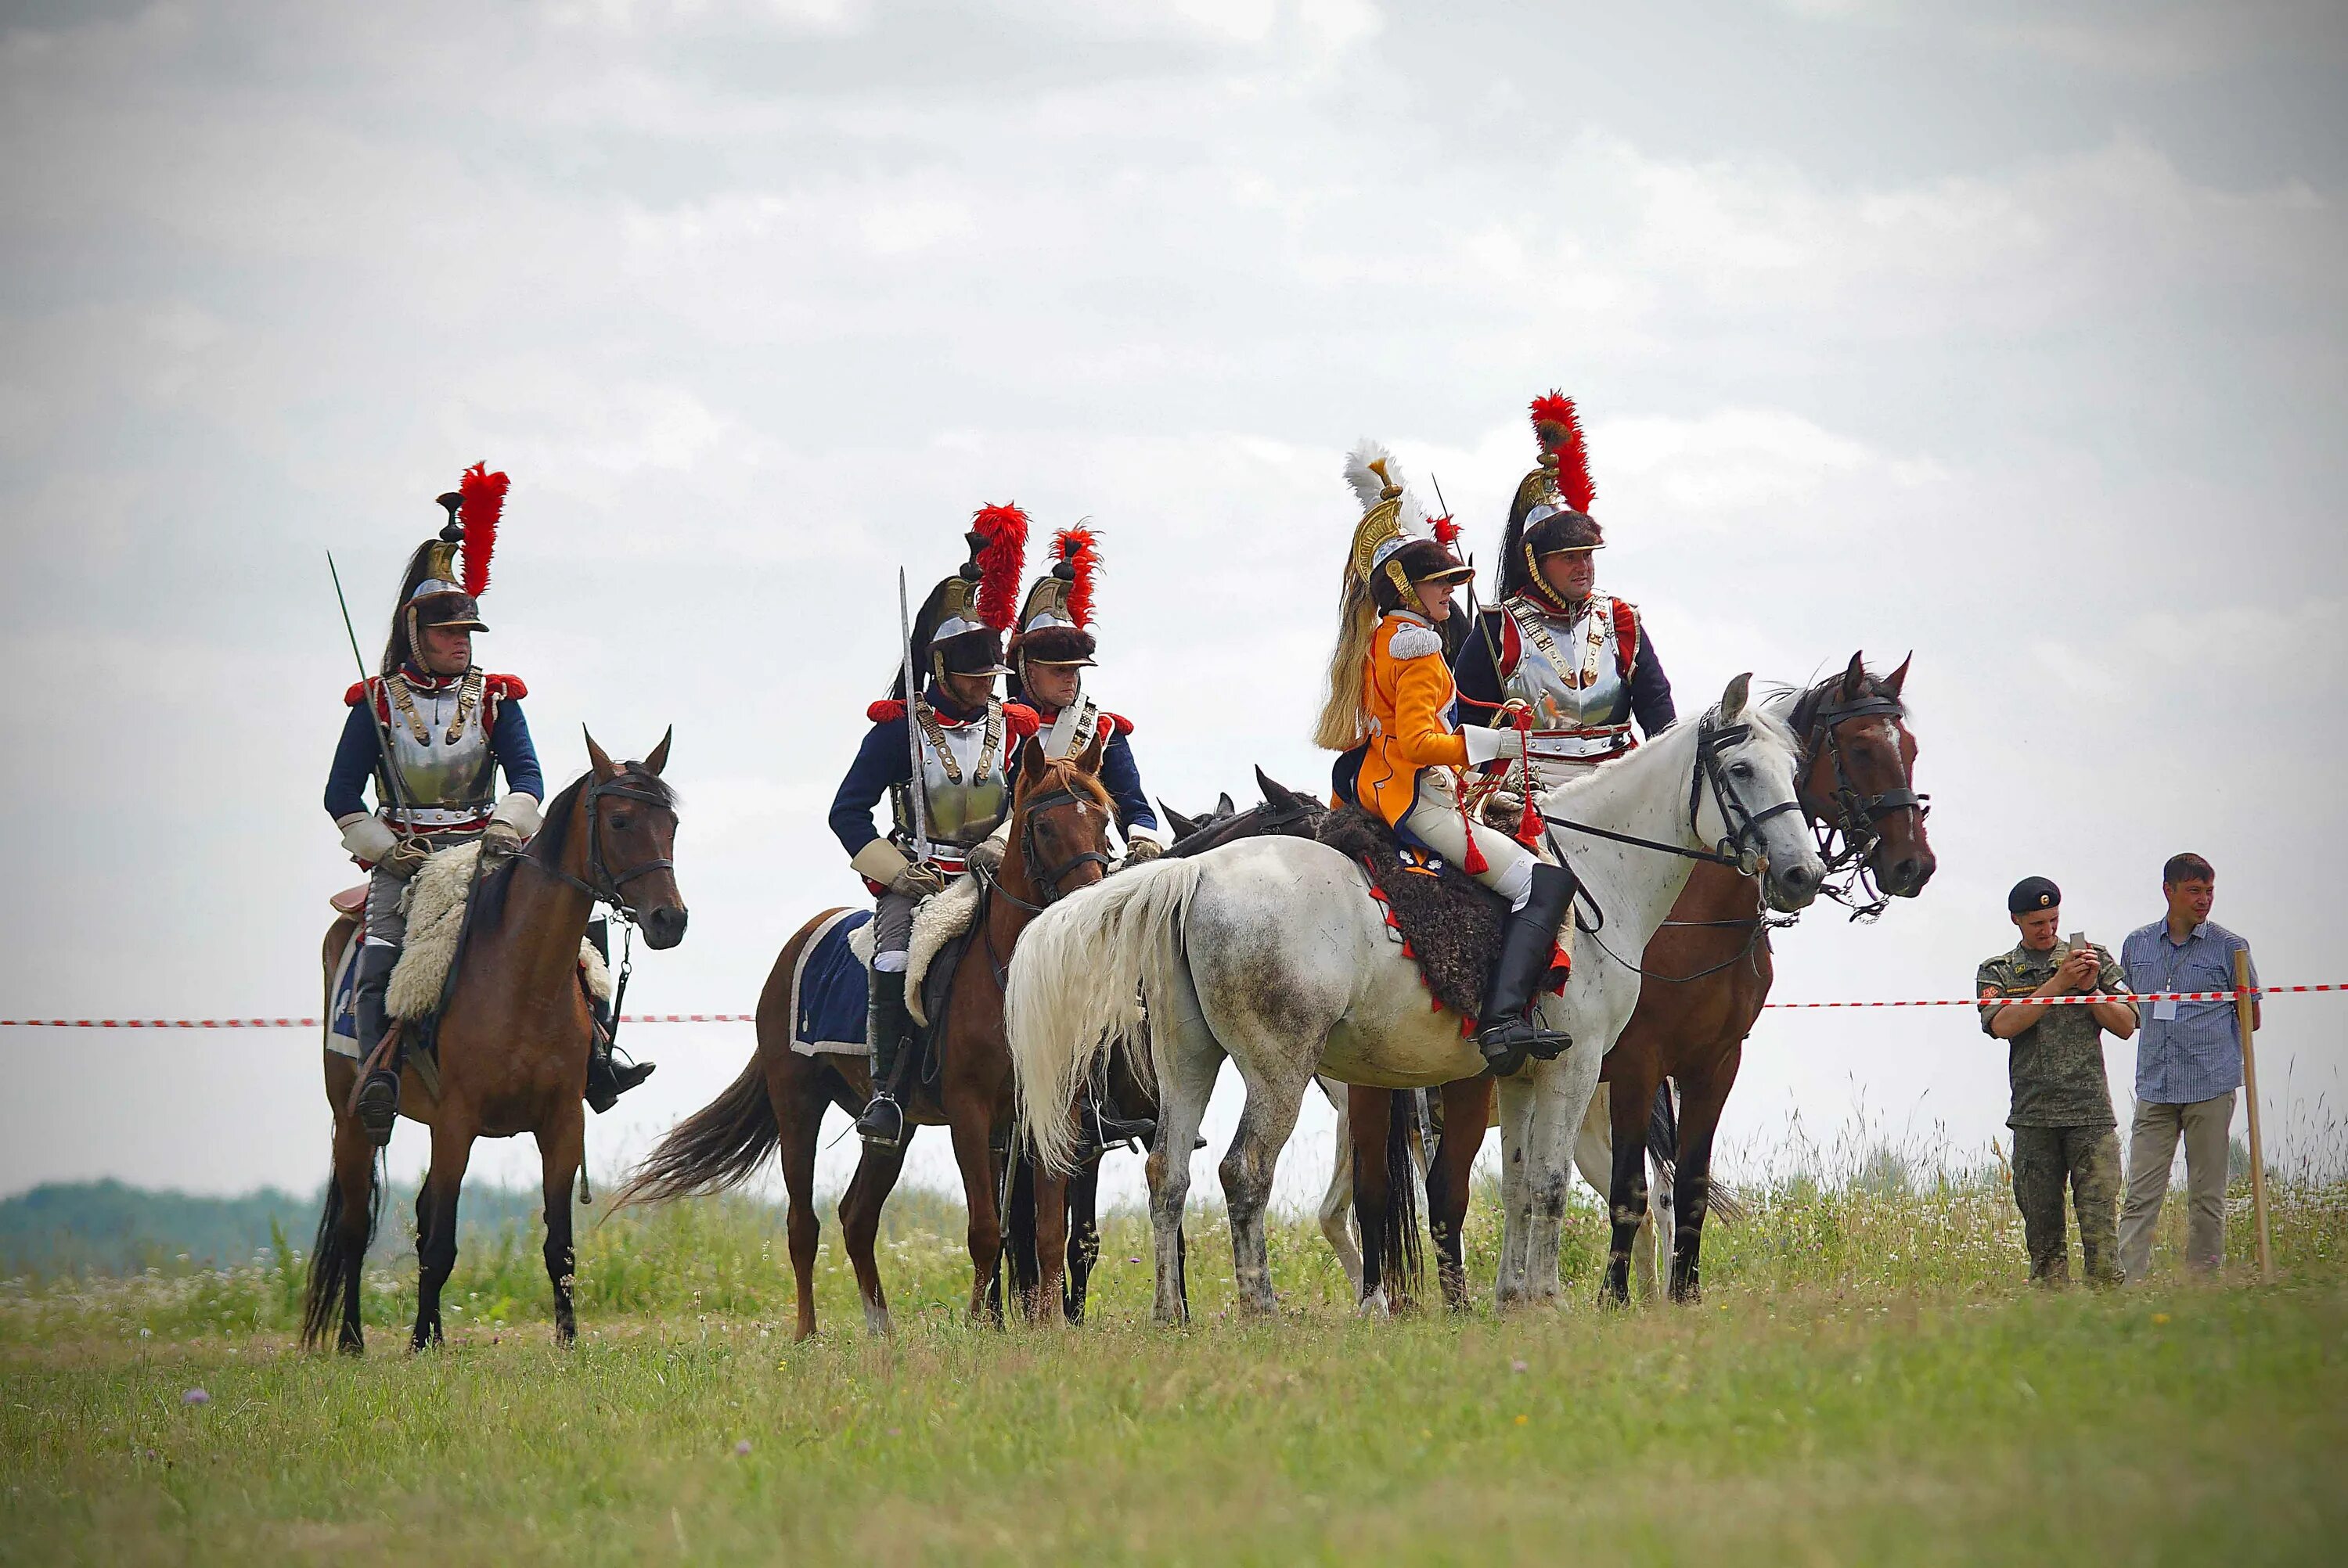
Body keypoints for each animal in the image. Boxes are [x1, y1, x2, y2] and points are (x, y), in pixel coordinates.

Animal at [298, 728, 686, 1352]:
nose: (670, 920)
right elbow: (439, 1244)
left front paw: (568, 1340)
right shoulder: (457, 1123)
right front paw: (420, 1344)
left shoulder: (562, 1124)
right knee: (357, 1229)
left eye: (671, 823)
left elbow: (560, 1247)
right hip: (355, 1121)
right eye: (621, 820)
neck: (523, 980)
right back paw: (354, 1340)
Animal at [610, 737, 1113, 1333]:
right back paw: (808, 1334)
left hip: (894, 1127)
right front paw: (978, 1326)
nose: (1090, 905)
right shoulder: (969, 1115)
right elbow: (986, 1230)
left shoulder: (1049, 1112)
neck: (1011, 979)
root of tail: (800, 941)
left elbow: (1050, 1232)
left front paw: (1051, 1328)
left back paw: (882, 1330)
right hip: (798, 1106)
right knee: (803, 1224)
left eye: (1103, 819)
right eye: (1045, 827)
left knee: (857, 1216)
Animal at [1000, 676, 1822, 1324]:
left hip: (1190, 1061)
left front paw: (1513, 1298)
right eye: (1740, 768)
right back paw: (1260, 1309)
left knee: (1169, 1173)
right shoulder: (1578, 1062)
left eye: (1793, 769)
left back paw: (1172, 1315)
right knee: (1243, 1171)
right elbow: (1546, 1184)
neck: (1596, 870)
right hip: (1279, 1069)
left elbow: (1518, 1181)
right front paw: (1547, 1300)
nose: (1802, 875)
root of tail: (1196, 874)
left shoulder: (1520, 1070)